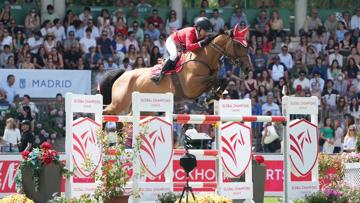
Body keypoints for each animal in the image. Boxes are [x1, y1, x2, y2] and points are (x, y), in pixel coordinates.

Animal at [99, 24, 250, 115]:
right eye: (238, 45)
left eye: (246, 45)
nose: (248, 69)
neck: (205, 58)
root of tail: (122, 75)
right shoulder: (191, 86)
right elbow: (216, 79)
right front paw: (210, 97)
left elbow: (222, 80)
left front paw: (212, 97)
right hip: (119, 103)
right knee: (106, 112)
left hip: (143, 108)